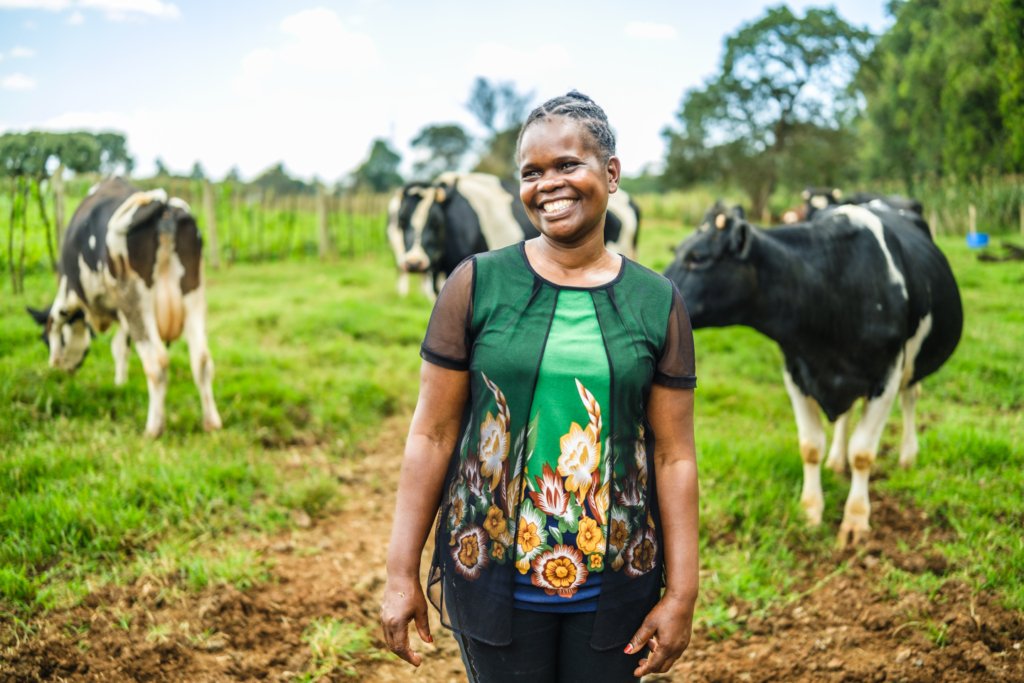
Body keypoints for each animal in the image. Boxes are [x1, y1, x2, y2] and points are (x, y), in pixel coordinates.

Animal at [27, 176, 222, 438]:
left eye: (43, 342)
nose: (68, 373)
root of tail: (163, 207)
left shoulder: (68, 291)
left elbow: (54, 322)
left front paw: (53, 365)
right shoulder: (122, 316)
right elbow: (120, 347)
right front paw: (120, 383)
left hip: (135, 300)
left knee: (157, 362)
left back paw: (153, 429)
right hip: (194, 295)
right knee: (201, 360)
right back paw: (212, 422)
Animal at [663, 201, 958, 544]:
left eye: (697, 258)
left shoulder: (888, 374)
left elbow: (863, 453)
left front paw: (856, 520)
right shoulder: (796, 370)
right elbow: (810, 447)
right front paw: (810, 510)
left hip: (912, 363)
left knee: (910, 398)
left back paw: (908, 456)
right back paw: (836, 460)